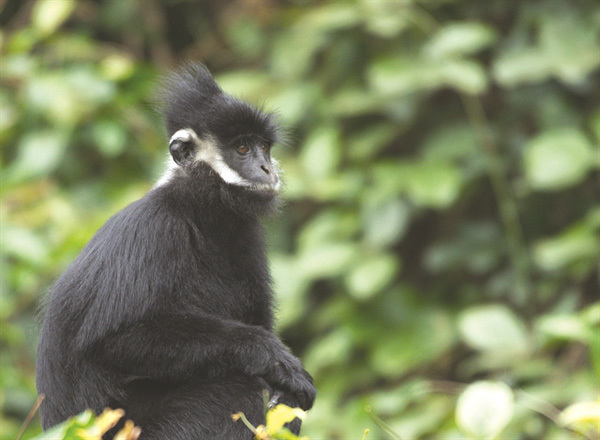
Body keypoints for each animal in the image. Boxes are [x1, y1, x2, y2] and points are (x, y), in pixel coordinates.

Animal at [36, 63, 318, 438]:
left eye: (264, 148)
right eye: (242, 149)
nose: (267, 169)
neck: (195, 210)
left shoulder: (246, 235)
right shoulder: (153, 228)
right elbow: (112, 340)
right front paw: (272, 356)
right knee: (236, 387)